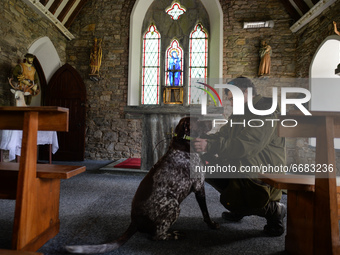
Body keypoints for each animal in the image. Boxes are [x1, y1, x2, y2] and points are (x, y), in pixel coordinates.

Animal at [66, 117, 218, 253]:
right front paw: (211, 224)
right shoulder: (199, 187)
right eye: (198, 118)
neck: (184, 144)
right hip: (173, 205)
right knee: (157, 235)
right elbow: (206, 212)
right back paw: (175, 235)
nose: (214, 120)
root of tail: (134, 221)